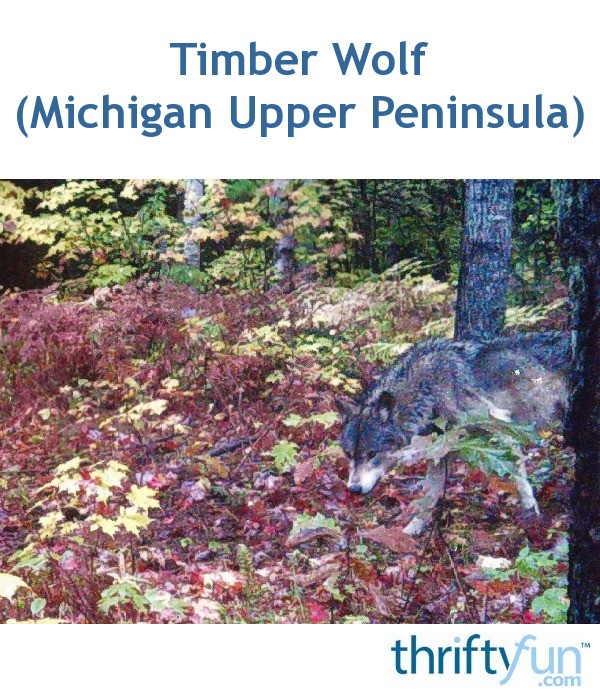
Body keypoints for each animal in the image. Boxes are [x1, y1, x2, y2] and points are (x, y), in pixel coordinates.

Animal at [337, 331, 570, 533]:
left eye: (372, 454)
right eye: (349, 454)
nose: (353, 489)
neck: (429, 390)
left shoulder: (501, 423)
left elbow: (519, 477)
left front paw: (532, 513)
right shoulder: (440, 450)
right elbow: (429, 495)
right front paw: (412, 532)